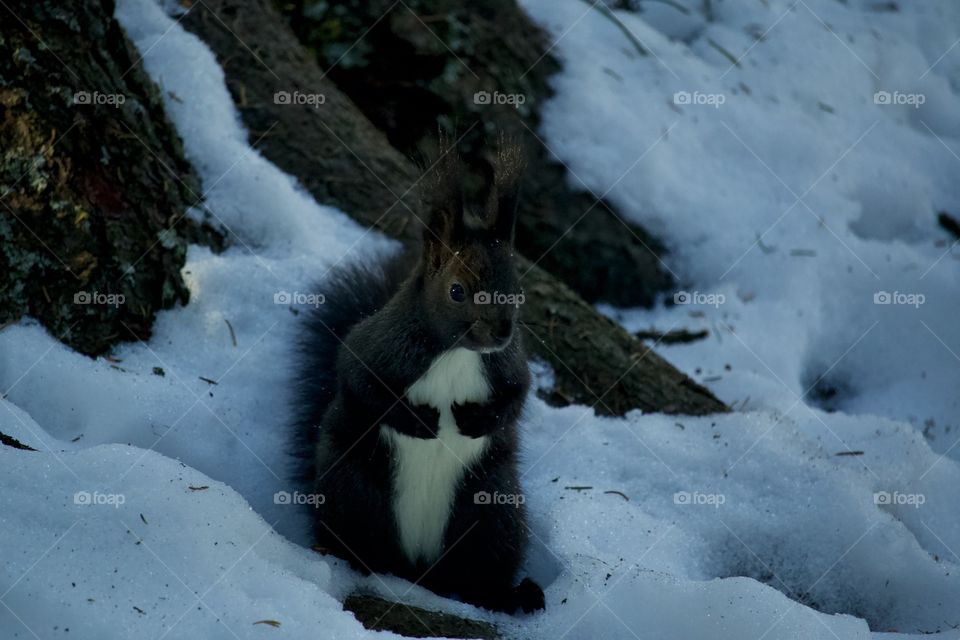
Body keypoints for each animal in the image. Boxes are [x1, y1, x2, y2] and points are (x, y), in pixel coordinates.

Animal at [290, 139, 545, 614]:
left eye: (517, 289)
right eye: (457, 290)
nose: (502, 332)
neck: (458, 353)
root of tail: (417, 569)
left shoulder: (508, 366)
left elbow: (517, 397)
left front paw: (476, 420)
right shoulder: (374, 346)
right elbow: (360, 383)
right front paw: (418, 421)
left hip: (494, 511)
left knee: (479, 574)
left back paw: (512, 595)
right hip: (351, 490)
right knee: (358, 541)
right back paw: (342, 558)